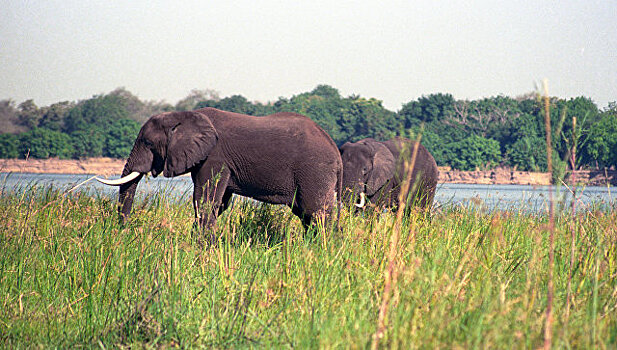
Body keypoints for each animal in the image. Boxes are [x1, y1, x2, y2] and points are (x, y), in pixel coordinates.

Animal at [98, 107, 344, 241]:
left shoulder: (214, 157)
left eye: (148, 143)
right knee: (306, 214)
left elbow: (205, 200)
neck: (185, 116)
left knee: (316, 213)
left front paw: (202, 245)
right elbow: (218, 203)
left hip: (315, 170)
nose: (124, 231)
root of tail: (336, 150)